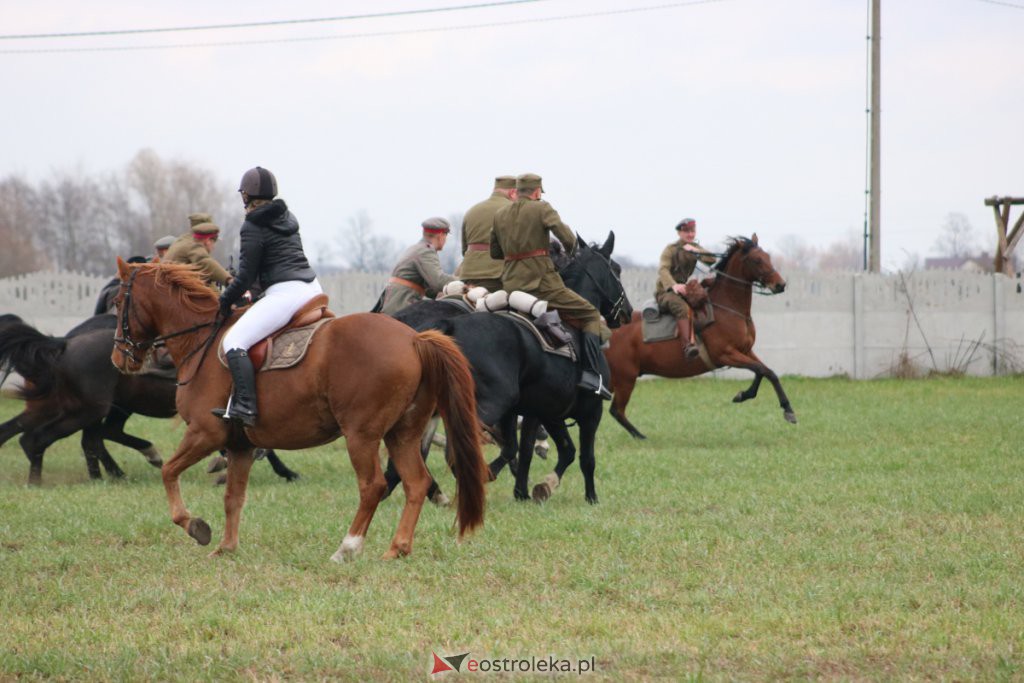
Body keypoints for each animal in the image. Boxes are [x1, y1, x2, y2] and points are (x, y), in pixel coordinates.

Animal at [0, 315, 299, 485]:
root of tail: (65, 344)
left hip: (95, 407)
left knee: (85, 437)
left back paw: (110, 474)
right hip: (88, 409)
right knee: (44, 438)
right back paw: (40, 479)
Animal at [110, 260, 485, 561]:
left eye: (118, 303)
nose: (118, 359)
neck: (200, 341)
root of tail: (413, 339)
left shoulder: (205, 432)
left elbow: (168, 472)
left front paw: (195, 526)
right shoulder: (239, 445)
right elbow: (233, 496)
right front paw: (227, 548)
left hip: (361, 435)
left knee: (373, 486)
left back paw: (347, 548)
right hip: (402, 434)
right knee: (416, 483)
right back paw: (397, 549)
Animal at [391, 232, 630, 505]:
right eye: (616, 269)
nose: (628, 312)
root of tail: (448, 327)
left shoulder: (543, 411)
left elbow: (543, 449)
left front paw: (531, 489)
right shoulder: (590, 411)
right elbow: (583, 458)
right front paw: (590, 497)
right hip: (486, 404)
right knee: (451, 451)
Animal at [602, 233, 794, 444]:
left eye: (767, 256)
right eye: (756, 260)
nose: (780, 284)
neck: (727, 309)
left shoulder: (745, 351)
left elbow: (766, 372)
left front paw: (748, 396)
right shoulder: (726, 355)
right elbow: (763, 370)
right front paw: (783, 409)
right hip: (625, 379)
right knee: (616, 411)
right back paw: (641, 437)